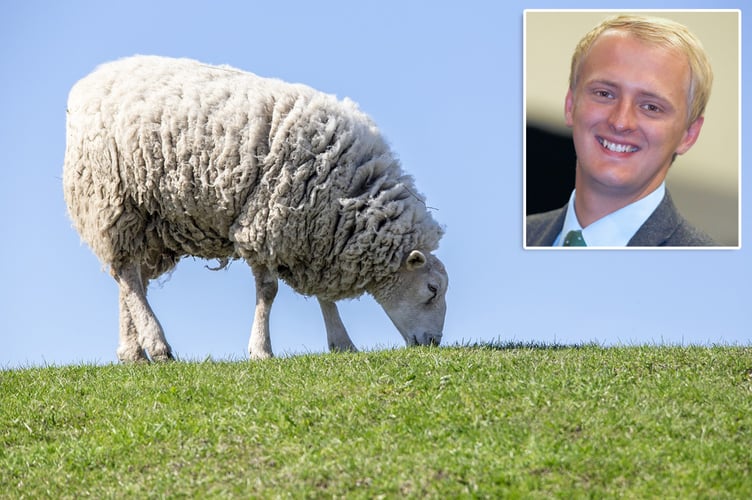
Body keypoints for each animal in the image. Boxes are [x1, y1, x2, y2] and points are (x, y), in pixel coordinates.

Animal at [64, 54, 446, 362]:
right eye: (432, 290)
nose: (433, 343)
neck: (348, 193)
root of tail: (90, 81)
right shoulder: (267, 222)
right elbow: (268, 291)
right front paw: (261, 349)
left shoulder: (316, 236)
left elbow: (323, 296)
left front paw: (342, 343)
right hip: (113, 198)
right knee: (127, 274)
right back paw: (157, 345)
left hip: (151, 221)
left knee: (131, 279)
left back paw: (132, 351)